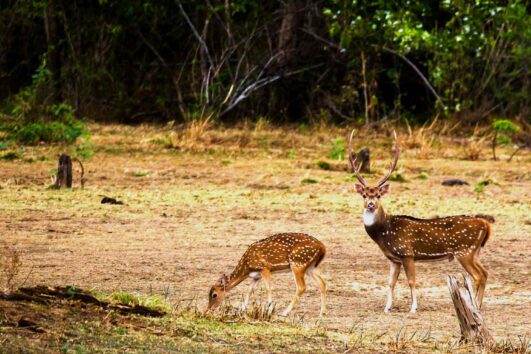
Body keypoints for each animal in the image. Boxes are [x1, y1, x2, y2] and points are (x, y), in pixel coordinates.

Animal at [350, 131, 494, 314]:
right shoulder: (394, 259)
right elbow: (390, 282)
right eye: (364, 195)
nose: (370, 204)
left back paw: (475, 305)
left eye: (378, 195)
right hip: (475, 251)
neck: (383, 233)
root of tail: (486, 225)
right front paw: (387, 307)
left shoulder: (407, 253)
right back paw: (479, 305)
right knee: (485, 273)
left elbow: (412, 281)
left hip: (464, 251)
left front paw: (413, 308)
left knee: (477, 275)